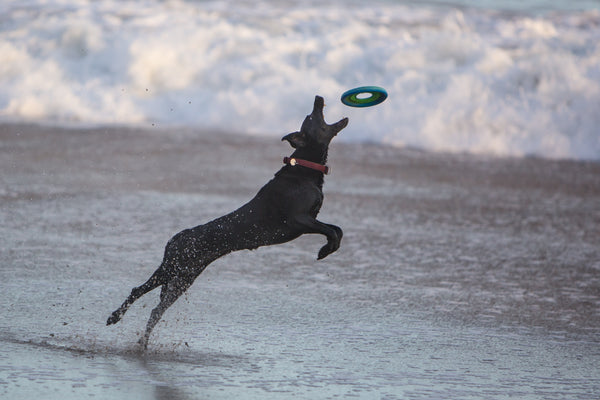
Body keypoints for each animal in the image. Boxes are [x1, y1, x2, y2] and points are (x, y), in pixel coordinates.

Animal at [106, 95, 346, 348]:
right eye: (311, 116)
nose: (318, 98)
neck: (304, 168)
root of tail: (175, 238)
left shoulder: (311, 219)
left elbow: (337, 229)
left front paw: (329, 248)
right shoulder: (298, 220)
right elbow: (331, 231)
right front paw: (325, 250)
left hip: (184, 277)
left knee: (156, 310)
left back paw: (142, 341)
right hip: (172, 267)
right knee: (138, 290)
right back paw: (115, 317)